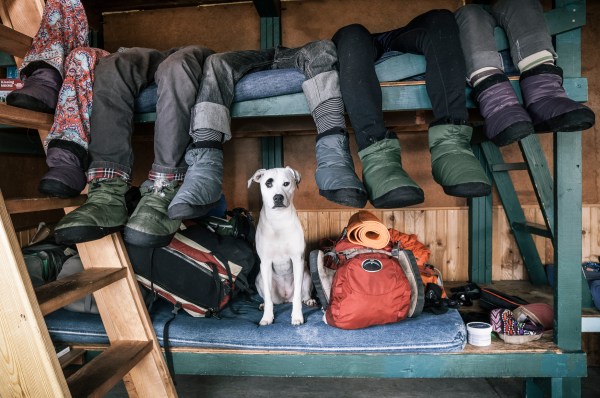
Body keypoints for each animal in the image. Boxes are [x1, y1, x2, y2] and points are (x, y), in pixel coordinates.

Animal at [247, 166, 316, 324]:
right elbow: (268, 297)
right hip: (259, 278)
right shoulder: (265, 263)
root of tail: (285, 298)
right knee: (270, 299)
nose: (278, 197)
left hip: (307, 275)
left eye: (286, 183)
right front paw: (267, 317)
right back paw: (263, 304)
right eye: (268, 183)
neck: (278, 220)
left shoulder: (297, 260)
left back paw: (309, 300)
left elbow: (297, 295)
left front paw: (297, 316)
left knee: (303, 294)